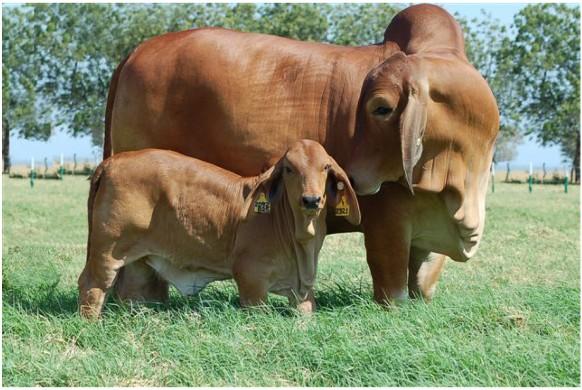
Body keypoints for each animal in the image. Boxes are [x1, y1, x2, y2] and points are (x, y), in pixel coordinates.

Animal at [77, 139, 360, 316]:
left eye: (325, 167)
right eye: (290, 168)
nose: (311, 200)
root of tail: (112, 162)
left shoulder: (303, 292)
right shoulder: (251, 280)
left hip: (138, 260)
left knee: (131, 292)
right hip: (108, 250)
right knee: (92, 285)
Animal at [105, 3, 502, 304]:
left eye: (381, 107)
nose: (348, 176)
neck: (461, 184)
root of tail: (136, 51)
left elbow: (423, 277)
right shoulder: (387, 222)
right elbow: (392, 283)